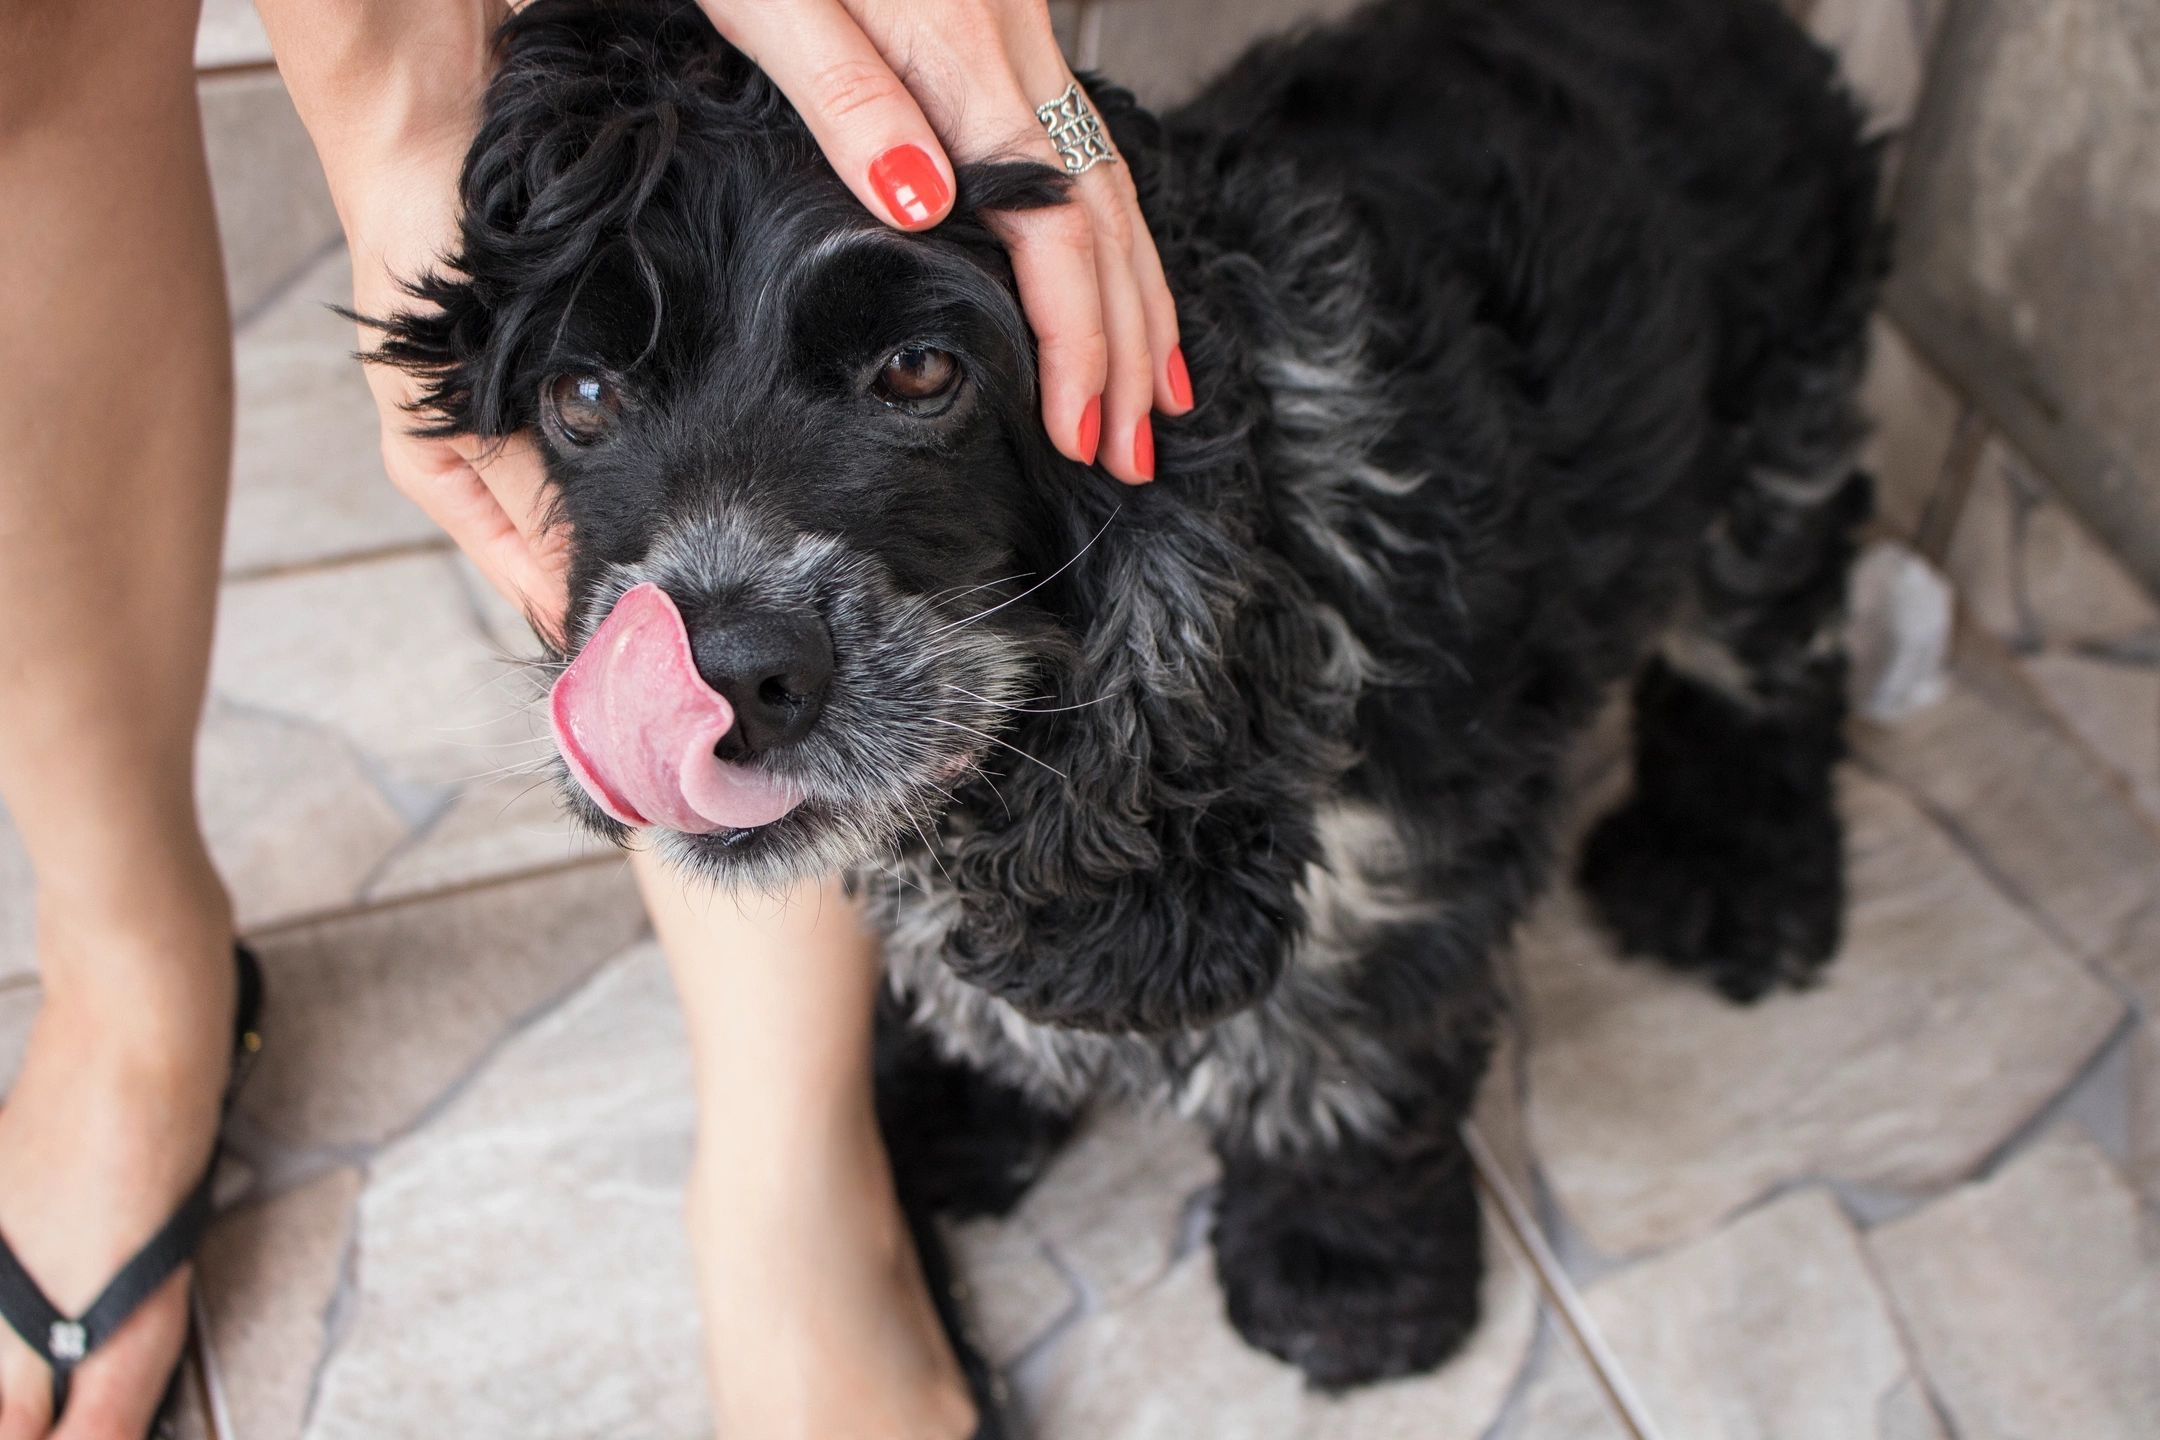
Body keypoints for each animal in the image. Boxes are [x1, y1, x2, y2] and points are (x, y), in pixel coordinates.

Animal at [375, 0, 1892, 1398]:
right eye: (581, 396)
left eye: (920, 370)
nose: (728, 674)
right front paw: (936, 1110)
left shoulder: (1406, 843)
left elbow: (1353, 1046)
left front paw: (1347, 1274)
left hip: (1782, 428)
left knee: (1769, 653)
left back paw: (1728, 880)